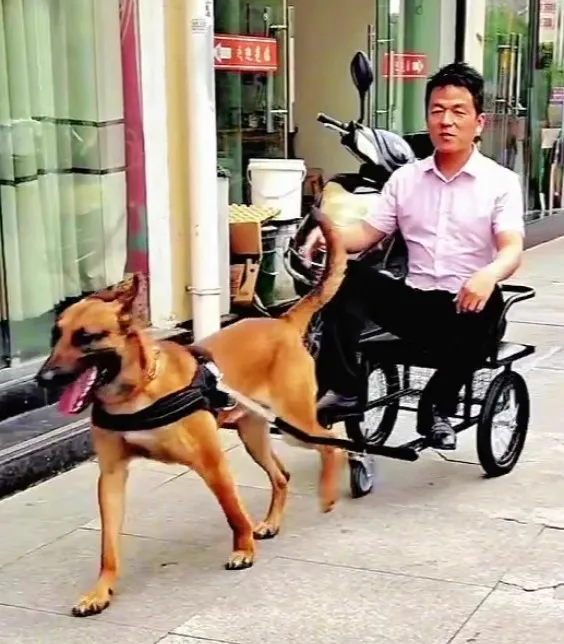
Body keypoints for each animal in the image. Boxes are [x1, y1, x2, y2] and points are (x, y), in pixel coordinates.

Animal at [36, 209, 348, 616]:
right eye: (55, 336)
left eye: (86, 337)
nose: (43, 378)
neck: (138, 391)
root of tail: (282, 322)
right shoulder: (112, 477)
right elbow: (108, 546)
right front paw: (100, 591)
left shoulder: (212, 463)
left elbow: (233, 512)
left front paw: (244, 550)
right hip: (254, 434)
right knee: (282, 475)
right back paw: (272, 521)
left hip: (295, 424)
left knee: (334, 442)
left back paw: (329, 493)